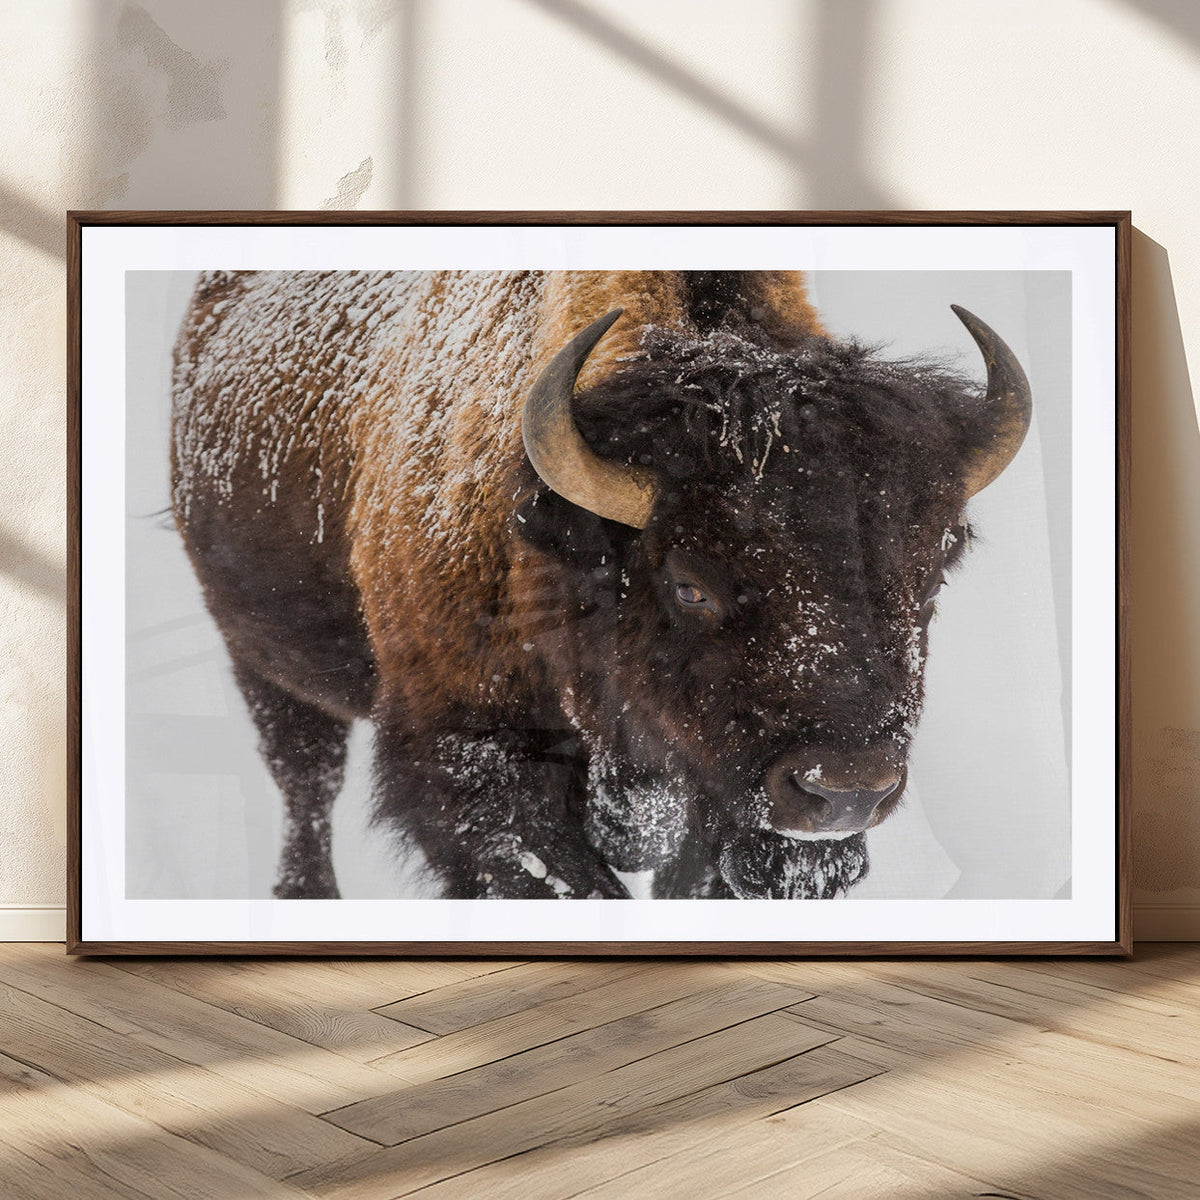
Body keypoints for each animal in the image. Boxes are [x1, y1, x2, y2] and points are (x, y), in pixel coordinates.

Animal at [170, 269, 1030, 900]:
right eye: (690, 585)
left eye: (934, 568)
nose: (845, 790)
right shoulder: (474, 763)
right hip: (263, 659)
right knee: (305, 782)